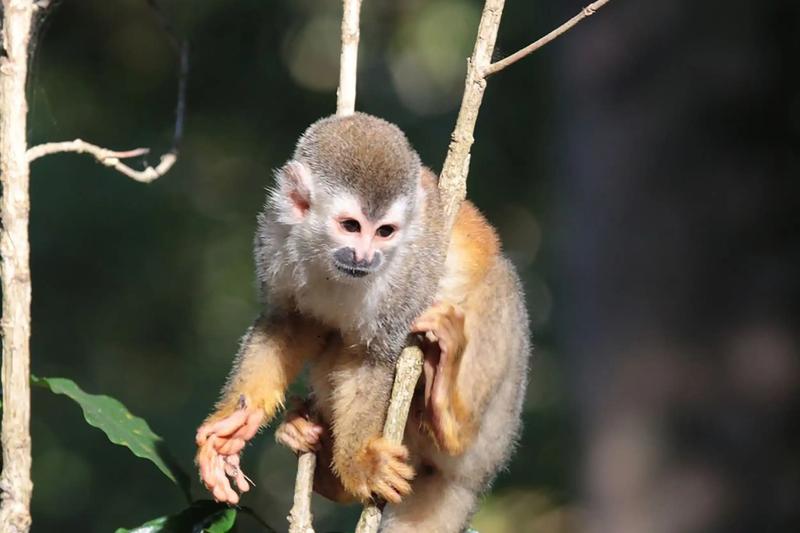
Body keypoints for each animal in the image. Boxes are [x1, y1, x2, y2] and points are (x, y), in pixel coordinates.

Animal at [195, 112, 530, 533]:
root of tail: (474, 481)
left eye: (385, 231)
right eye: (351, 226)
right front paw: (236, 424)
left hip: (496, 427)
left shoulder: (410, 270)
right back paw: (316, 456)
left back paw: (449, 414)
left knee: (498, 285)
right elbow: (288, 322)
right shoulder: (275, 230)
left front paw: (357, 466)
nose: (364, 257)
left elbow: (376, 359)